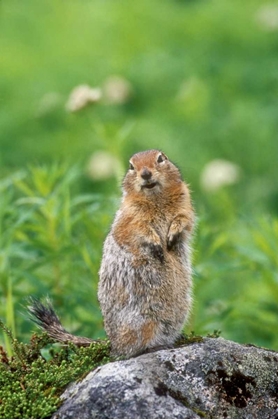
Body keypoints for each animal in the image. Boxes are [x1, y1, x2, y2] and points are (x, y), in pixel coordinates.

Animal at [27, 149, 193, 356]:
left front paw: (172, 236)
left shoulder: (185, 203)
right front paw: (157, 246)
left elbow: (184, 219)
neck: (156, 198)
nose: (146, 174)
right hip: (144, 322)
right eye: (131, 166)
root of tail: (112, 343)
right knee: (131, 350)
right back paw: (154, 347)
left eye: (161, 158)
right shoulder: (130, 216)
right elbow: (137, 229)